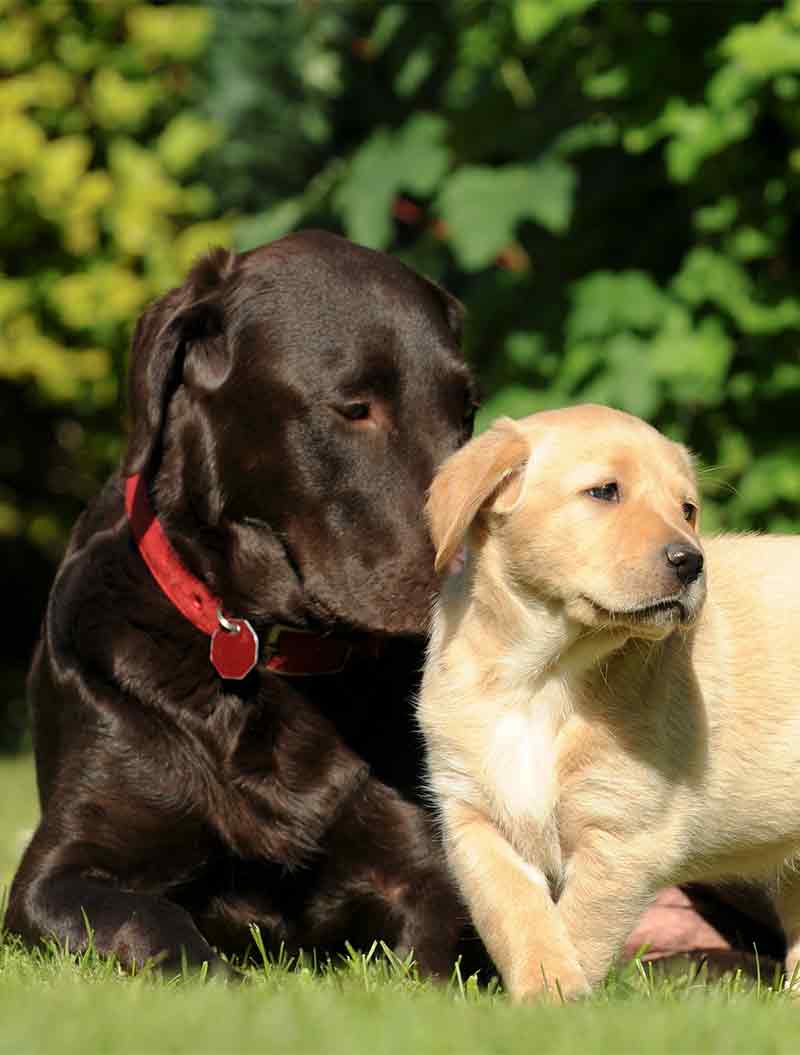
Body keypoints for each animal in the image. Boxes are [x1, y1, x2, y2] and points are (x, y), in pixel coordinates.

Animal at [7, 231, 483, 979]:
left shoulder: (426, 875)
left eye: (466, 413)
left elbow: (432, 956)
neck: (271, 646)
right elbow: (152, 920)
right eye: (356, 407)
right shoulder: (55, 876)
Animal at [415, 400, 800, 995]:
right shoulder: (476, 820)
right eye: (604, 492)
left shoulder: (625, 835)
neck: (543, 675)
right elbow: (516, 915)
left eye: (687, 510)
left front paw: (562, 996)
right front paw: (539, 989)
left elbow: (581, 927)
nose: (692, 561)